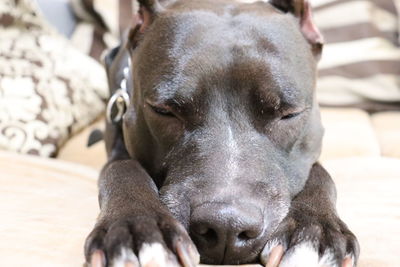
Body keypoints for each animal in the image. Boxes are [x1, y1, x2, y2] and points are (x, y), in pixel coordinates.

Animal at [84, 1, 360, 266]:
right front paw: (138, 227)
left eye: (289, 113)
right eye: (163, 111)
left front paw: (315, 229)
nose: (226, 226)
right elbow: (122, 169)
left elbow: (321, 174)